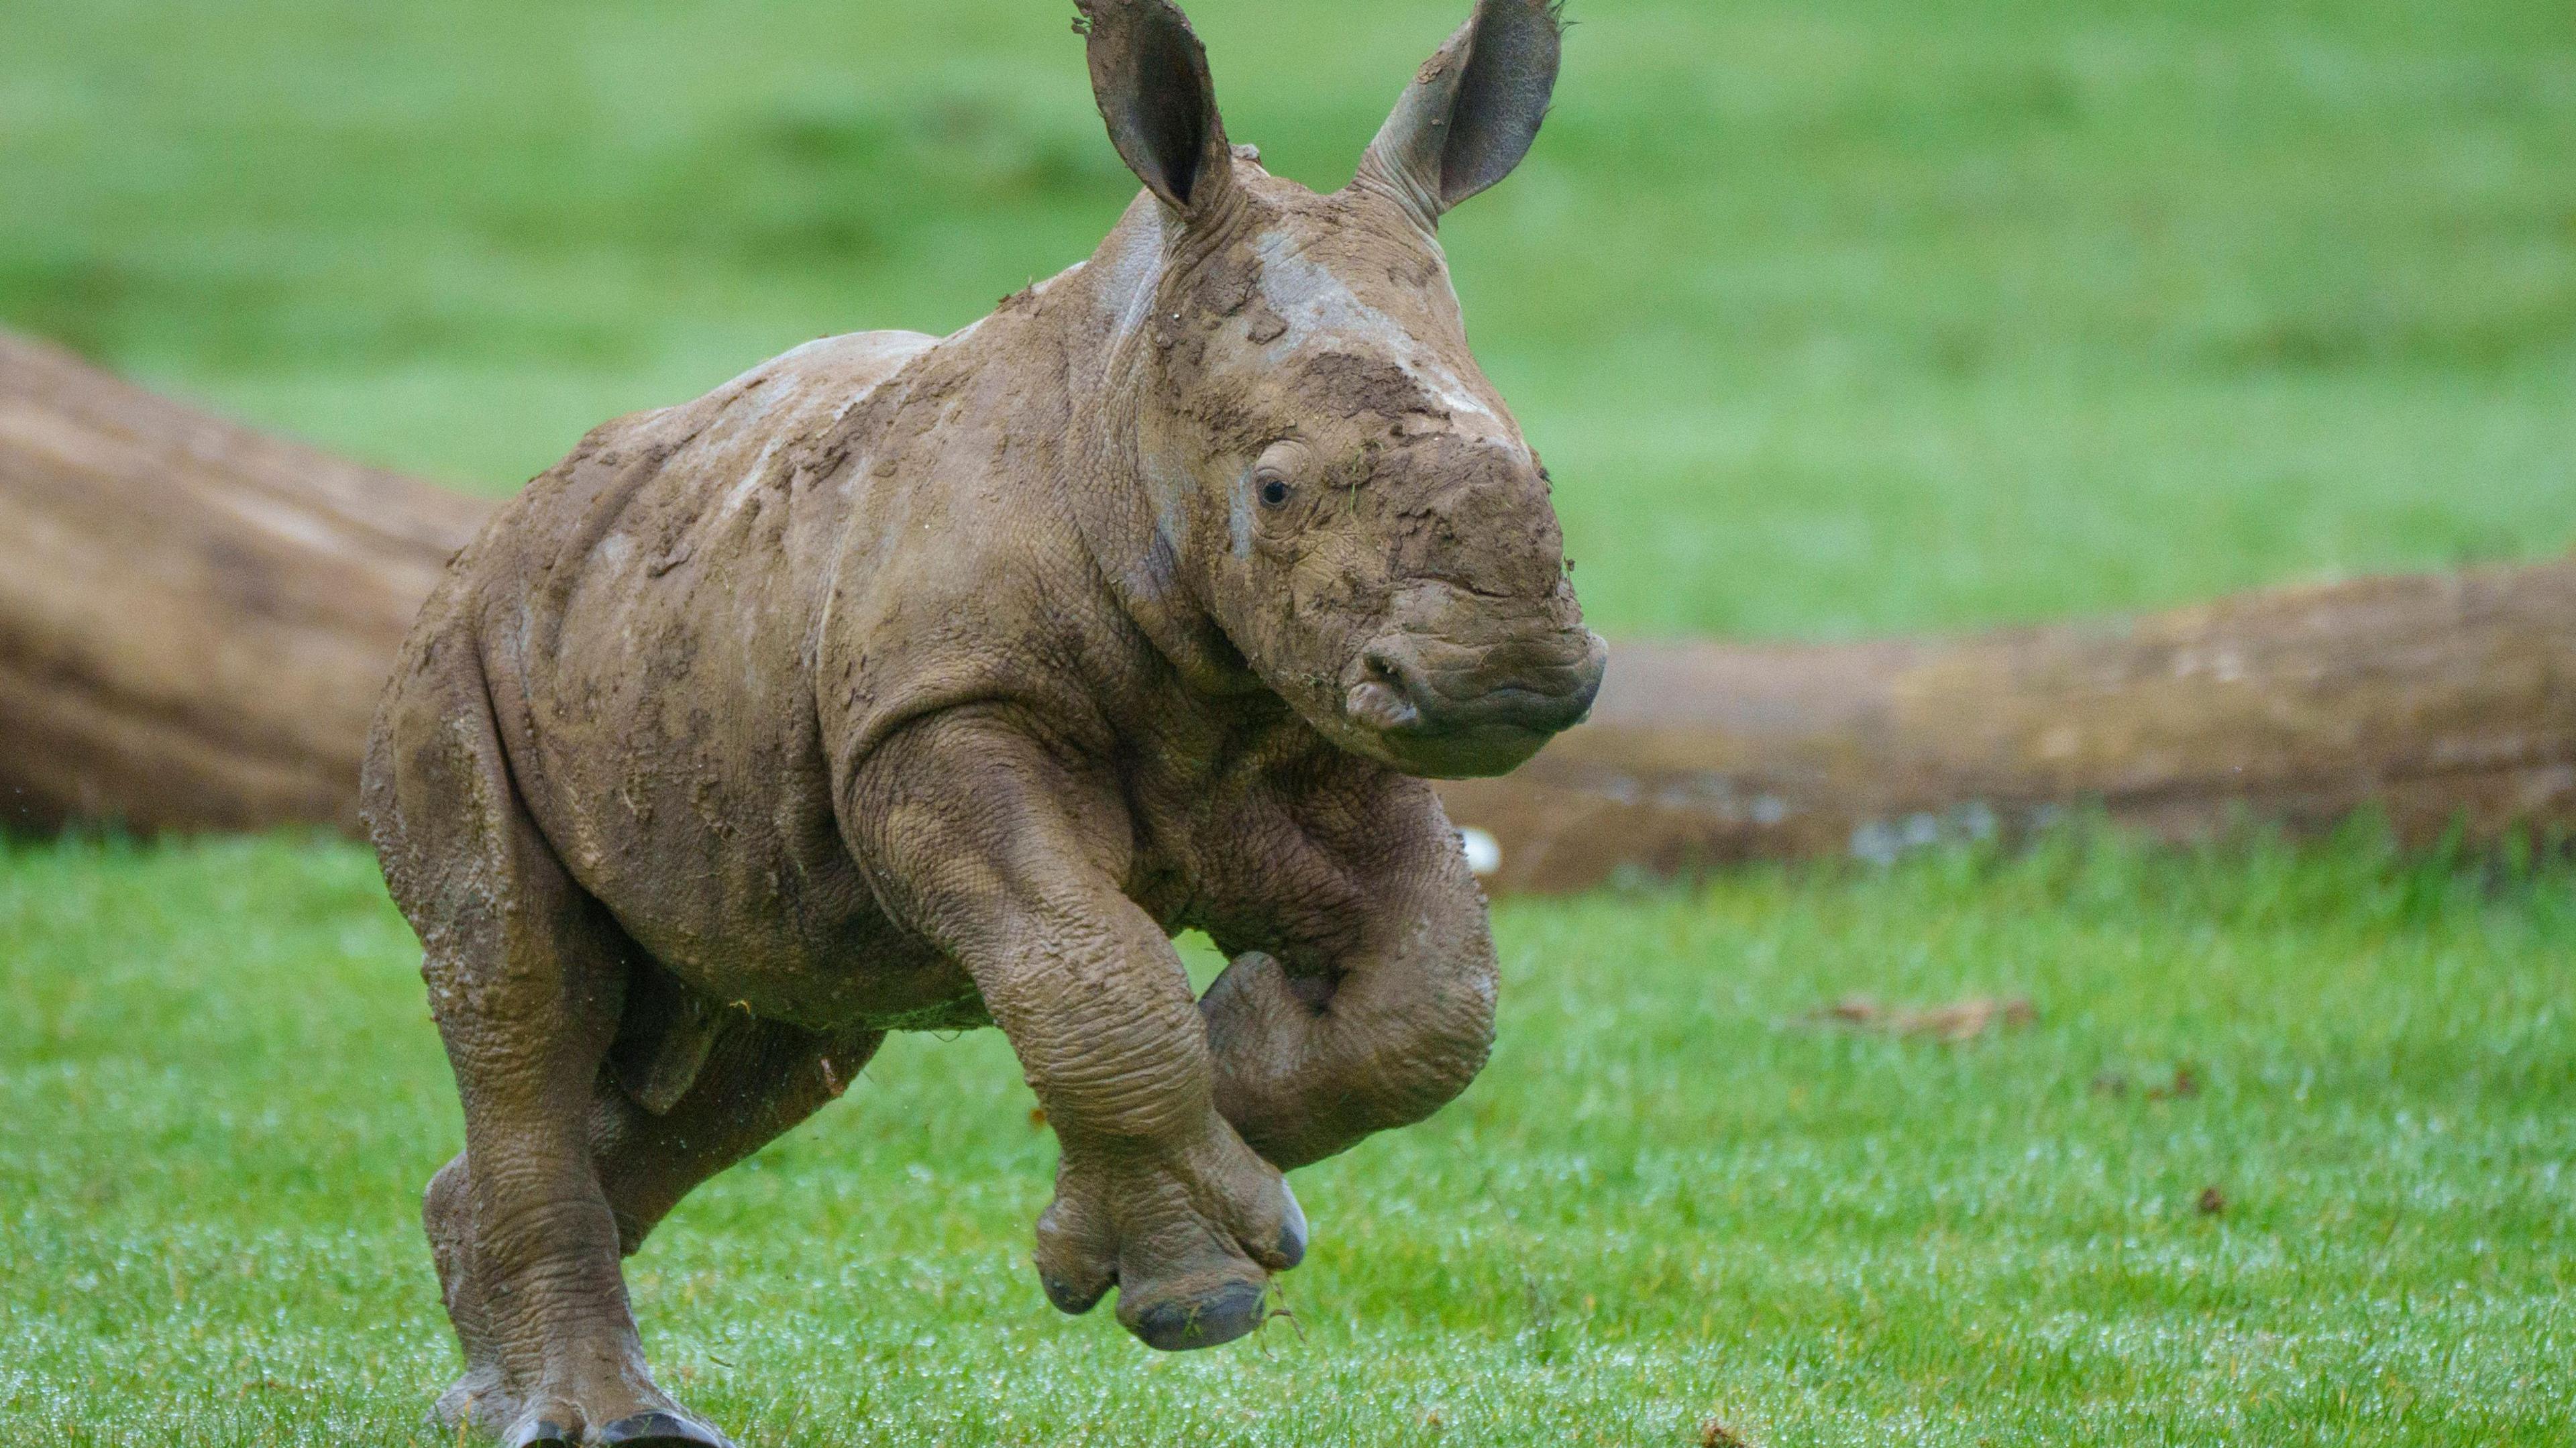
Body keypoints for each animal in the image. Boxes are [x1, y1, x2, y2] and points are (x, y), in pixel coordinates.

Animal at [368, 3, 1587, 1432]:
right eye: (1276, 490)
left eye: (1542, 467)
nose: (1507, 680)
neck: (1121, 413)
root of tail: (508, 523)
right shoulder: (938, 712)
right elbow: (1093, 970)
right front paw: (1196, 1287)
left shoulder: (1304, 713)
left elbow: (1434, 1000)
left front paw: (1172, 1163)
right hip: (458, 657)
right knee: (522, 983)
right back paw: (594, 1417)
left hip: (663, 627)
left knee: (766, 1041)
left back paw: (487, 1387)